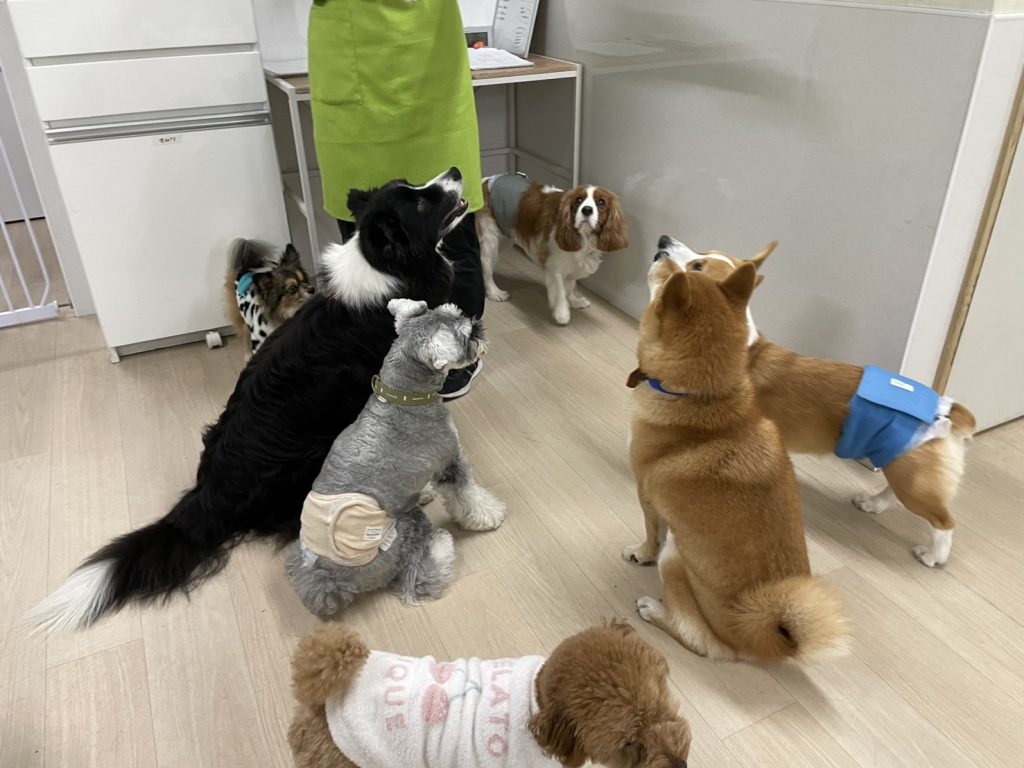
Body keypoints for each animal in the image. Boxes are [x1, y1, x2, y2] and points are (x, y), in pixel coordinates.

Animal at [24, 168, 471, 634]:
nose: (456, 171)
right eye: (419, 203)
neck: (386, 268)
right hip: (313, 455)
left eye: (413, 185)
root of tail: (210, 491)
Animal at [287, 299, 504, 617]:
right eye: (466, 335)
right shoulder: (450, 462)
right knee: (417, 576)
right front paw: (490, 516)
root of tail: (329, 579)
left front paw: (424, 492)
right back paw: (441, 545)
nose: (480, 327)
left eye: (456, 312)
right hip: (405, 528)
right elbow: (469, 497)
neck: (404, 396)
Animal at [476, 173, 628, 325]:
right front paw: (562, 313)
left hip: (505, 238)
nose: (587, 210)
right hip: (489, 240)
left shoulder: (572, 263)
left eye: (601, 203)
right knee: (486, 268)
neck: (584, 237)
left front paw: (574, 300)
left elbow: (570, 284)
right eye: (578, 200)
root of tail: (484, 181)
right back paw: (495, 292)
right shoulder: (553, 264)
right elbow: (560, 289)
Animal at [625, 255, 849, 662]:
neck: (699, 395)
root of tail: (763, 640)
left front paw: (641, 553)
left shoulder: (646, 494)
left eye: (689, 270)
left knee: (697, 640)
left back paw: (654, 610)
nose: (661, 252)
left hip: (676, 560)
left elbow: (652, 532)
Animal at [655, 236, 976, 567]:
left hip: (913, 483)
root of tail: (948, 409)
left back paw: (933, 555)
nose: (664, 240)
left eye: (698, 266)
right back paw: (873, 503)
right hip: (900, 465)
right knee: (895, 492)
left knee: (944, 521)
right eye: (704, 253)